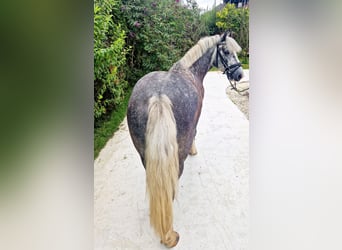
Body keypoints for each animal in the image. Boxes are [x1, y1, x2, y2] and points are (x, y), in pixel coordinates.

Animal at [126, 33, 243, 248]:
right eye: (226, 52)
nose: (239, 75)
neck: (189, 71)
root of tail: (159, 98)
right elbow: (195, 133)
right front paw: (194, 150)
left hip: (145, 156)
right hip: (176, 159)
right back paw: (168, 234)